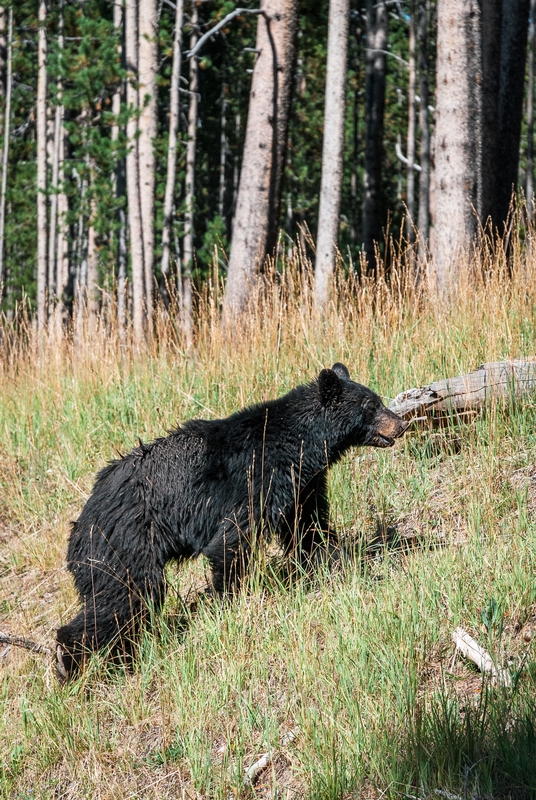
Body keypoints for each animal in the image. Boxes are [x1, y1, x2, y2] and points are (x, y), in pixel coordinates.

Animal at [55, 366, 406, 680]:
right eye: (371, 405)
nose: (401, 424)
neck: (299, 444)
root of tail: (80, 527)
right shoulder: (258, 479)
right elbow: (232, 540)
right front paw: (228, 601)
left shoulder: (302, 486)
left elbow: (310, 530)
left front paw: (338, 564)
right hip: (126, 543)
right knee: (126, 597)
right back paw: (74, 661)